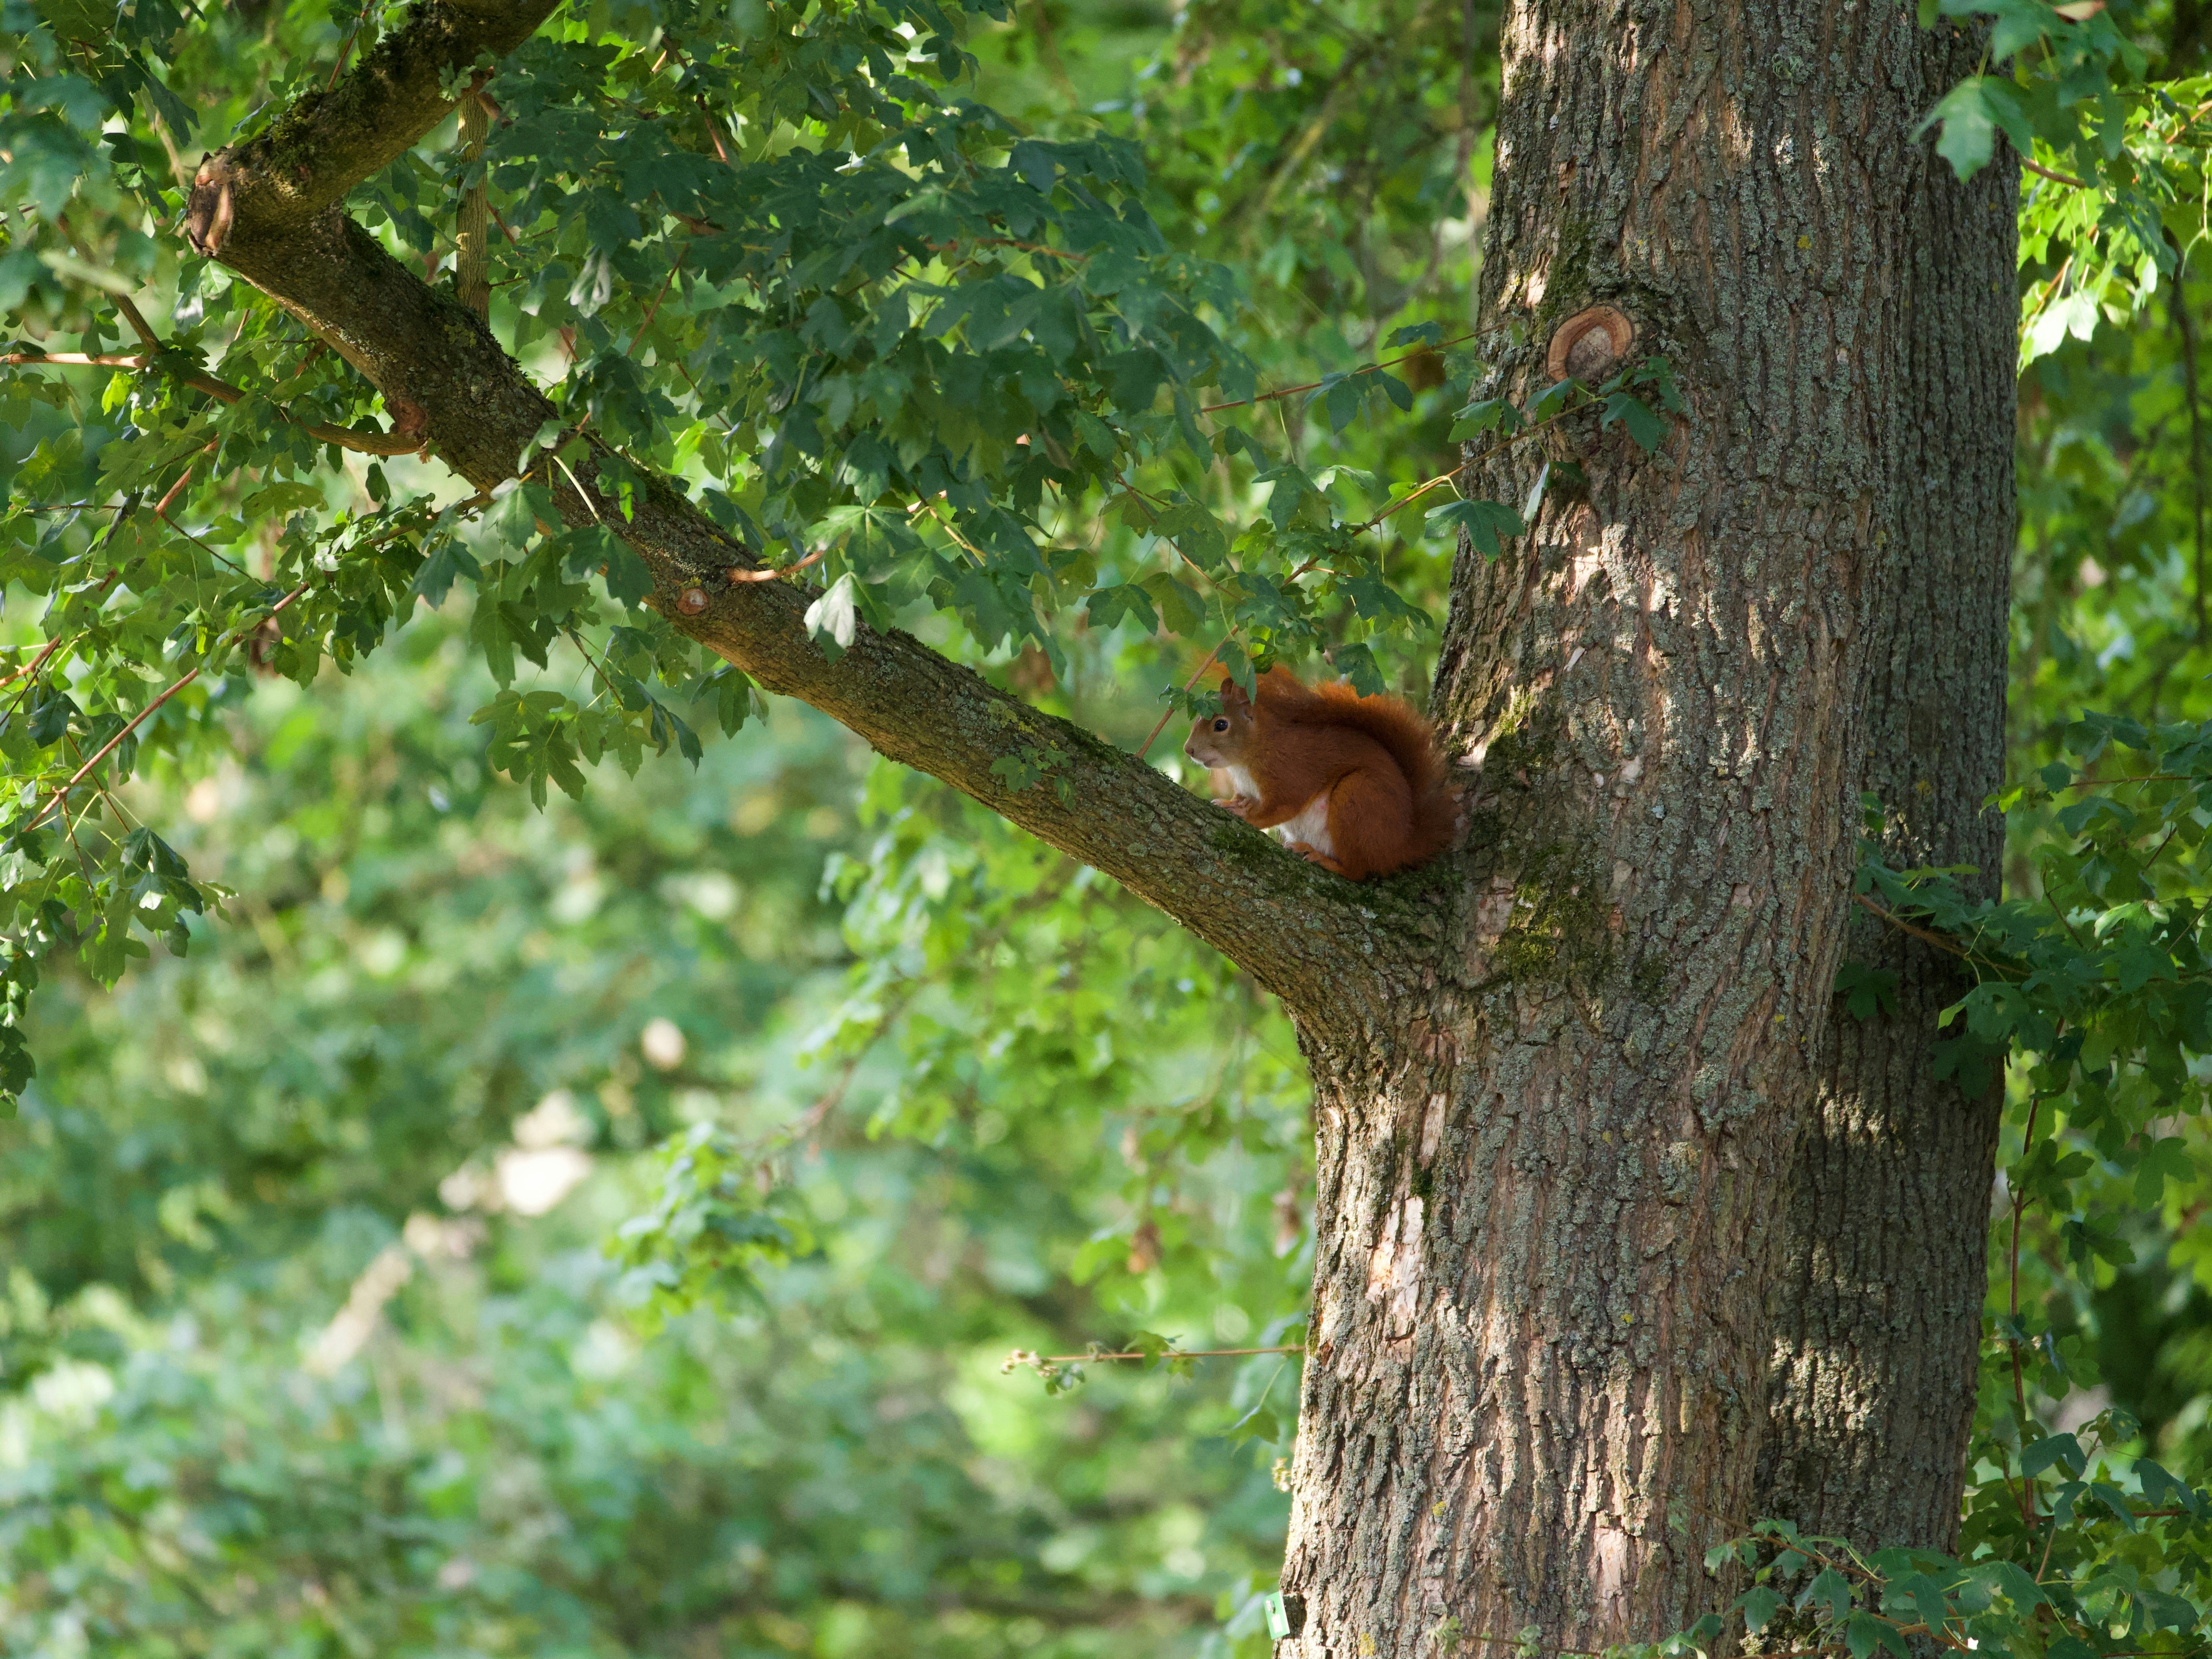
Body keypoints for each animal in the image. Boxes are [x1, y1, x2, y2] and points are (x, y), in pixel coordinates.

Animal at [1183, 667, 1455, 880]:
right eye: (1197, 719)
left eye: (1221, 725)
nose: (1189, 750)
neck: (1253, 753)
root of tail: (1401, 845)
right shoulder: (1247, 788)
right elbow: (1245, 800)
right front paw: (1232, 803)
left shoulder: (1289, 774)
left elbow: (1278, 809)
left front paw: (1245, 816)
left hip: (1357, 798)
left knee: (1358, 871)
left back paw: (1325, 861)